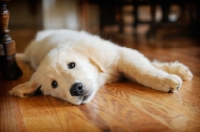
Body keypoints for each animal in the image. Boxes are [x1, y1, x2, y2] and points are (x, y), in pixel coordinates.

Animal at [8, 29, 193, 104]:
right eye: (54, 84)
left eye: (72, 65)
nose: (76, 89)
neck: (101, 75)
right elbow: (143, 67)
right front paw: (169, 76)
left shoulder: (118, 54)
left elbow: (142, 70)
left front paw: (167, 78)